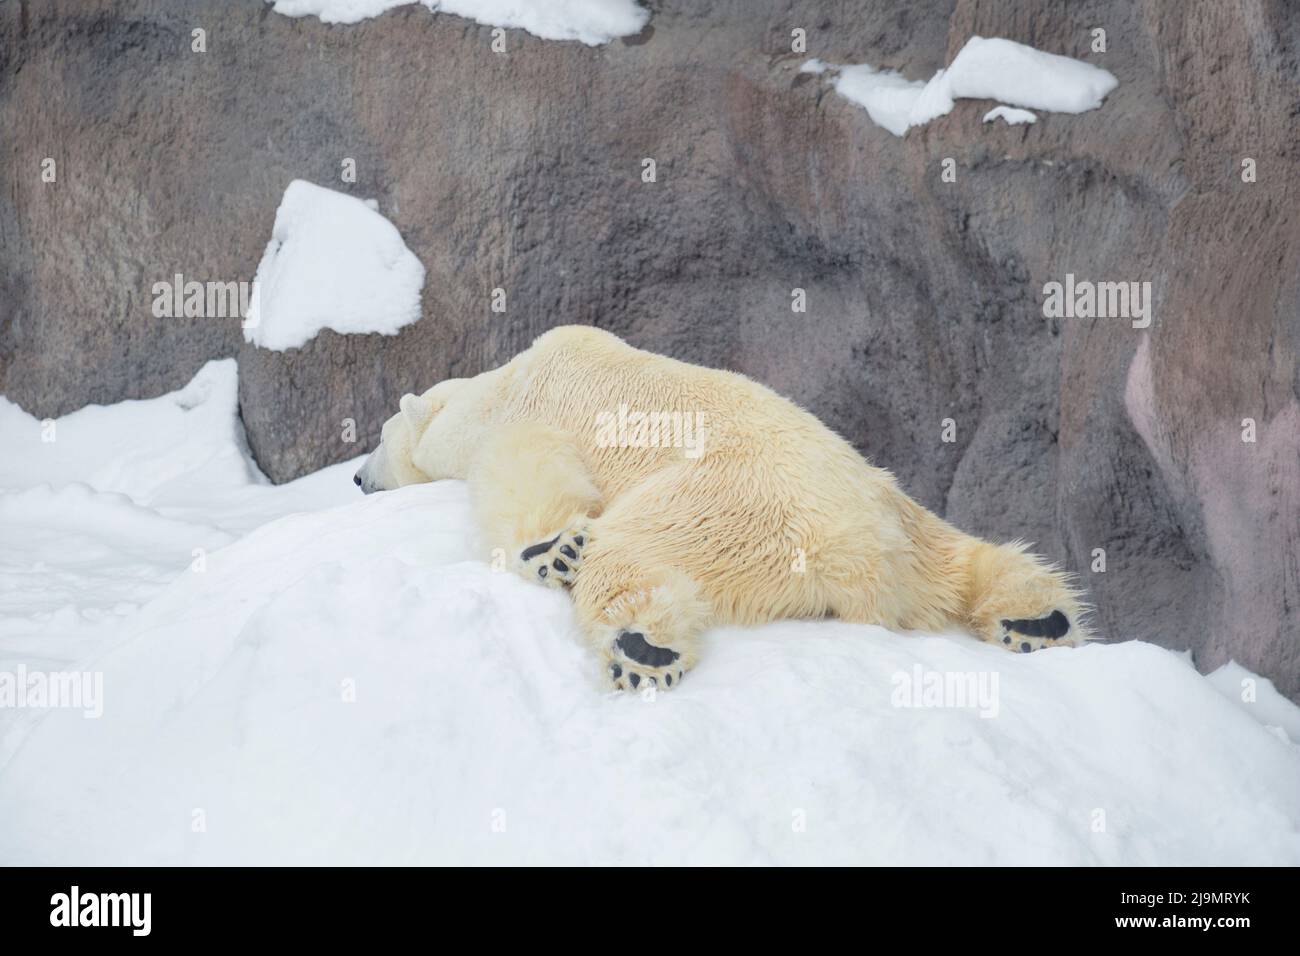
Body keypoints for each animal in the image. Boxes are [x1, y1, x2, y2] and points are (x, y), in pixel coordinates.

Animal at [356, 325, 1086, 691]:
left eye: (379, 439)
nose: (358, 480)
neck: (495, 384)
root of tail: (865, 553)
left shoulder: (525, 412)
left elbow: (529, 470)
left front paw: (550, 548)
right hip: (903, 510)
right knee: (970, 556)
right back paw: (1038, 619)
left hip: (726, 504)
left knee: (632, 550)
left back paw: (642, 648)